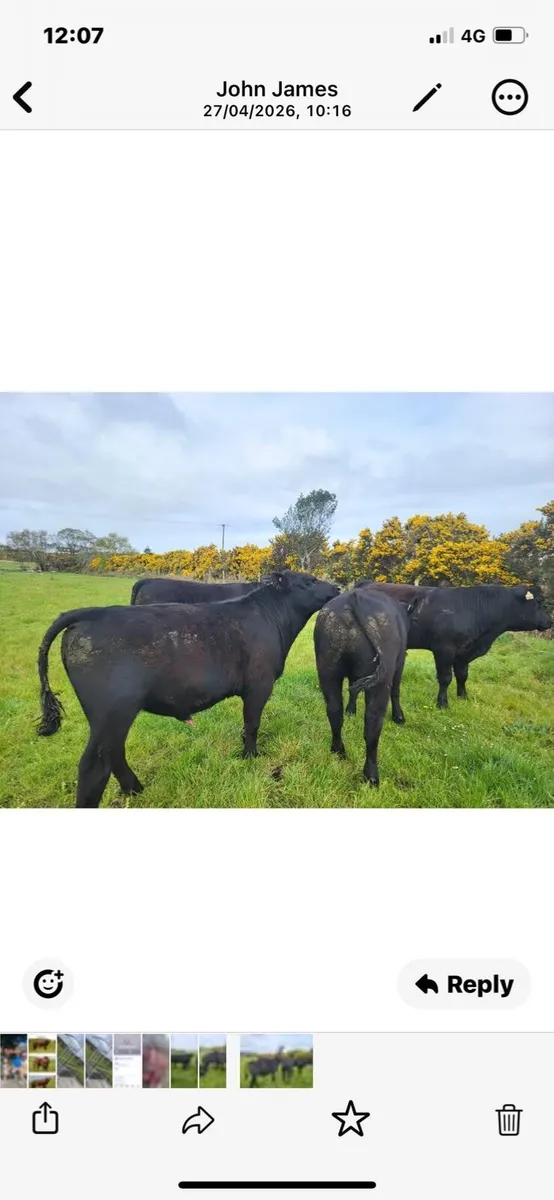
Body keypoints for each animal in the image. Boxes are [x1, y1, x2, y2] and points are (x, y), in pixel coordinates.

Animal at [36, 570, 339, 808]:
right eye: (309, 580)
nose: (337, 587)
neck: (270, 618)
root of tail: (92, 613)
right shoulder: (259, 685)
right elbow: (252, 723)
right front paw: (250, 757)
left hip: (108, 718)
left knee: (113, 752)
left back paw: (135, 788)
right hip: (113, 711)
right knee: (94, 766)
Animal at [314, 589, 417, 786]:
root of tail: (354, 597)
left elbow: (353, 690)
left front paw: (351, 710)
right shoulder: (400, 663)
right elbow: (396, 690)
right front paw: (399, 717)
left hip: (327, 670)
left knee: (334, 711)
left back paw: (338, 750)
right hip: (382, 680)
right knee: (372, 724)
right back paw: (371, 776)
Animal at [355, 581, 552, 708]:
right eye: (536, 604)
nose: (549, 622)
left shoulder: (464, 652)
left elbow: (463, 675)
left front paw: (463, 696)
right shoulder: (444, 649)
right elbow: (445, 677)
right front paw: (442, 703)